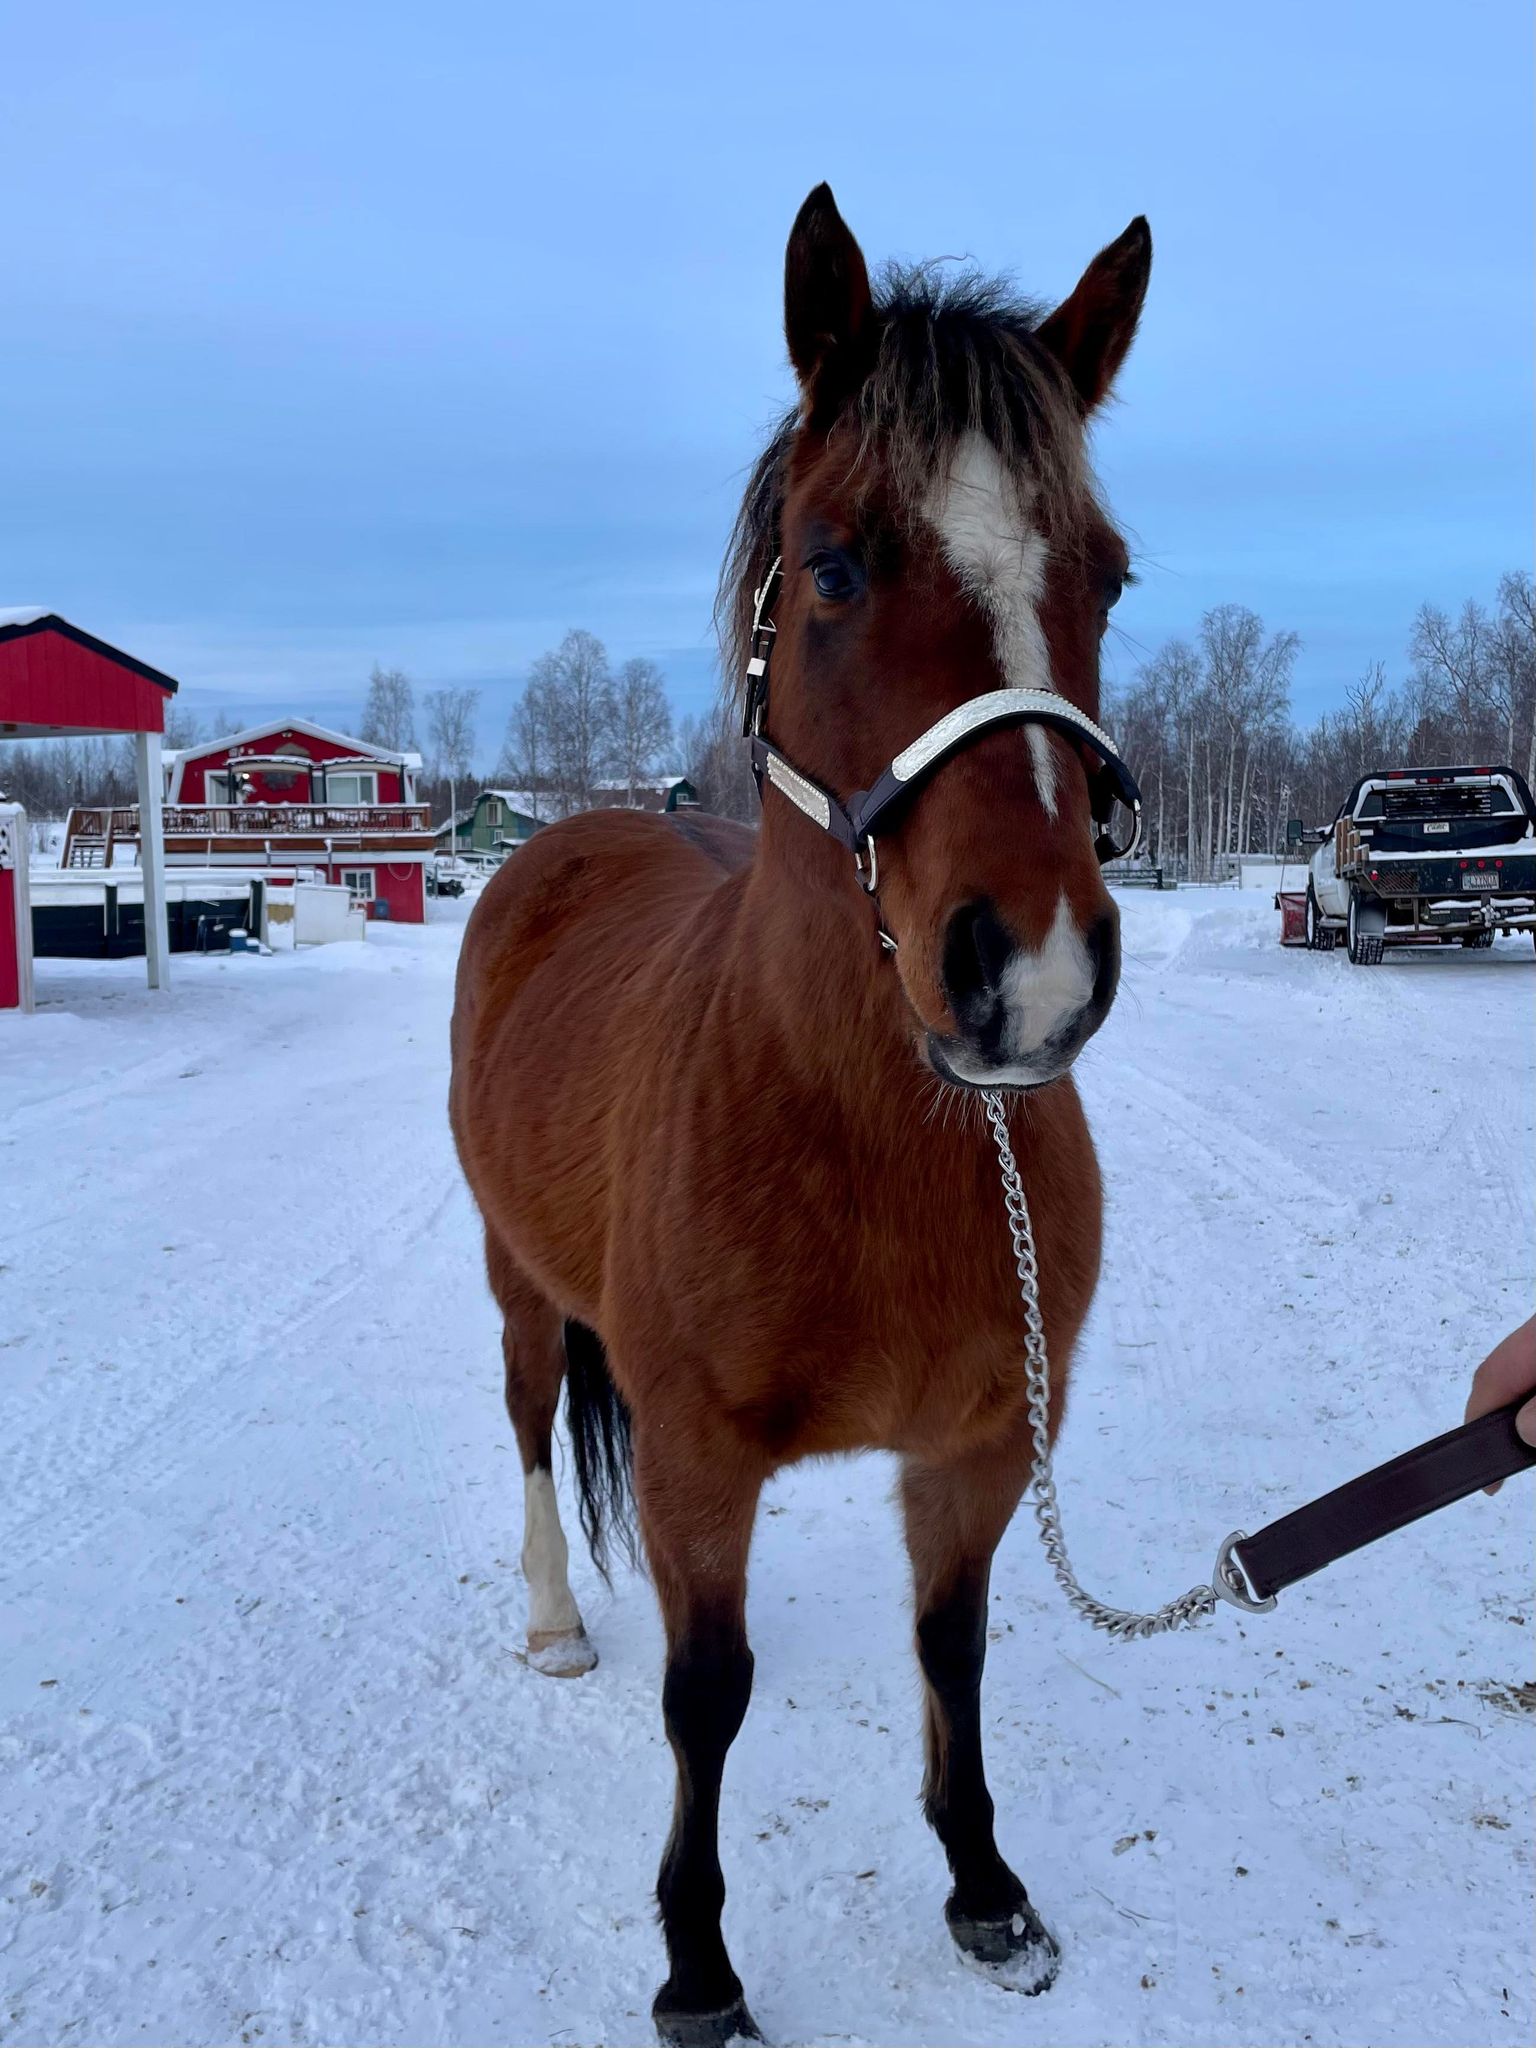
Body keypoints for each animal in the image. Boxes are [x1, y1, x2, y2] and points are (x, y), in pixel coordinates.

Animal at [449, 183, 1150, 2047]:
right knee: (530, 1423)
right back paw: (555, 1619)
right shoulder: (699, 1458)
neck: (871, 1135)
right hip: (517, 1282)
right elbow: (708, 1694)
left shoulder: (983, 1442)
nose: (1030, 973)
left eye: (1105, 574)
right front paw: (696, 1964)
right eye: (835, 563)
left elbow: (951, 1646)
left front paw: (985, 1887)